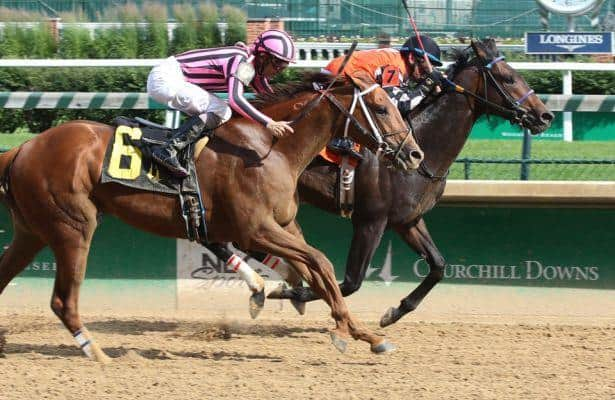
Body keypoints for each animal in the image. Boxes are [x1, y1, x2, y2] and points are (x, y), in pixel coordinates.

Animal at [0, 72, 424, 362]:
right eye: (382, 108)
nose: (414, 154)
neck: (271, 148)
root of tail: (22, 148)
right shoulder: (255, 229)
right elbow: (320, 262)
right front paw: (344, 330)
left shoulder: (284, 226)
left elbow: (318, 270)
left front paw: (363, 333)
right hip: (72, 227)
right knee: (62, 300)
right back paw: (97, 352)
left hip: (31, 231)